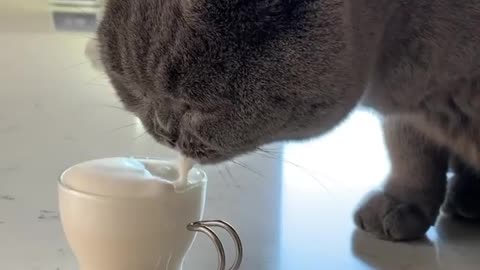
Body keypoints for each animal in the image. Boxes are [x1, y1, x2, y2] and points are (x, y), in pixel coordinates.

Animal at [96, 0, 480, 240]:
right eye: (136, 92)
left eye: (195, 106)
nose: (163, 128)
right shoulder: (408, 118)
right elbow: (411, 157)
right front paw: (401, 202)